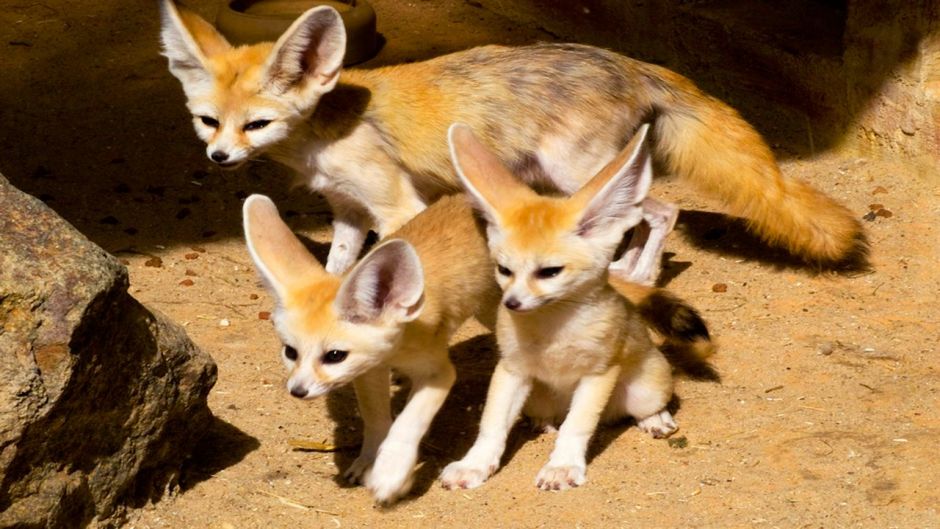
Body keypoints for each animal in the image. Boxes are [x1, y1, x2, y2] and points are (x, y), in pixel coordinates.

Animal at [162, 1, 868, 280]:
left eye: (256, 124)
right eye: (208, 122)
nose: (219, 157)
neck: (324, 130)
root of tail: (629, 61)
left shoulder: (395, 205)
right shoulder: (347, 211)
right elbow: (338, 265)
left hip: (572, 176)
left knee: (661, 211)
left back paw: (639, 270)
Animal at [440, 124, 696, 490]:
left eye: (550, 272)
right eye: (503, 270)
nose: (511, 303)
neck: (553, 330)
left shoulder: (598, 372)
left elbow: (578, 425)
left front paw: (561, 467)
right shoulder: (512, 370)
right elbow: (491, 425)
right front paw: (473, 465)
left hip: (644, 387)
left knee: (638, 407)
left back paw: (656, 419)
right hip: (538, 398)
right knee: (549, 416)